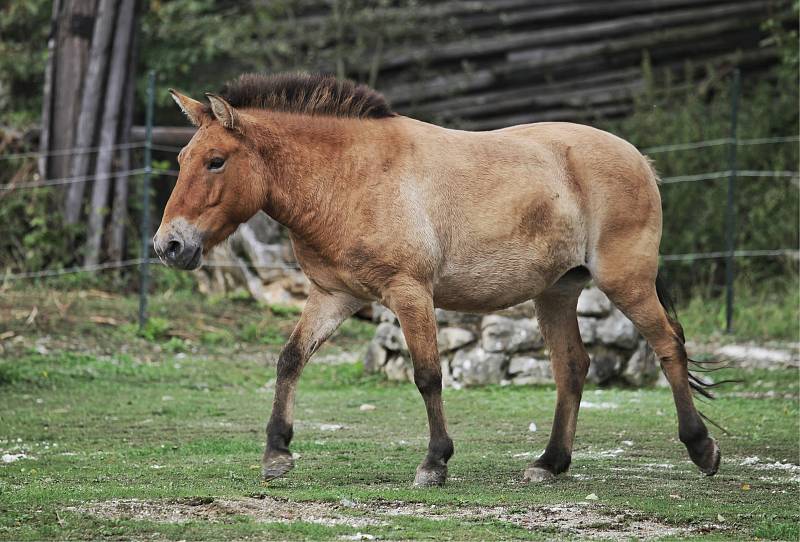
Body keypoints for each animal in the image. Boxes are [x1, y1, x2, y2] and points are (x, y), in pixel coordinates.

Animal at [155, 73, 720, 488]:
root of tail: (639, 159)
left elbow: (427, 375)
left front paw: (435, 463)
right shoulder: (334, 296)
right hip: (557, 291)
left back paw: (701, 448)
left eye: (216, 161)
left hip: (626, 281)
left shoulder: (409, 293)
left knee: (667, 346)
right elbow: (290, 359)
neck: (350, 175)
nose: (169, 246)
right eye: (182, 159)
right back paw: (550, 463)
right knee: (572, 367)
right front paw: (276, 454)